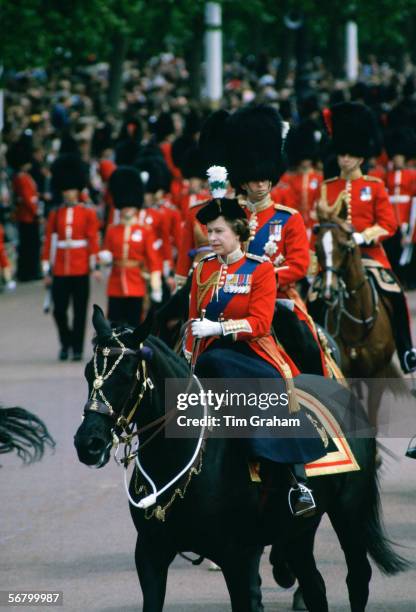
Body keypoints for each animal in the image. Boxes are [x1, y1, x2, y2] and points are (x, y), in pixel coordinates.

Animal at [74, 306, 406, 612]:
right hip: (299, 531)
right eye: (89, 373)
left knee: (357, 578)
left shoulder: (239, 557)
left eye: (126, 375)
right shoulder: (150, 554)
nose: (88, 443)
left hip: (349, 513)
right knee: (315, 586)